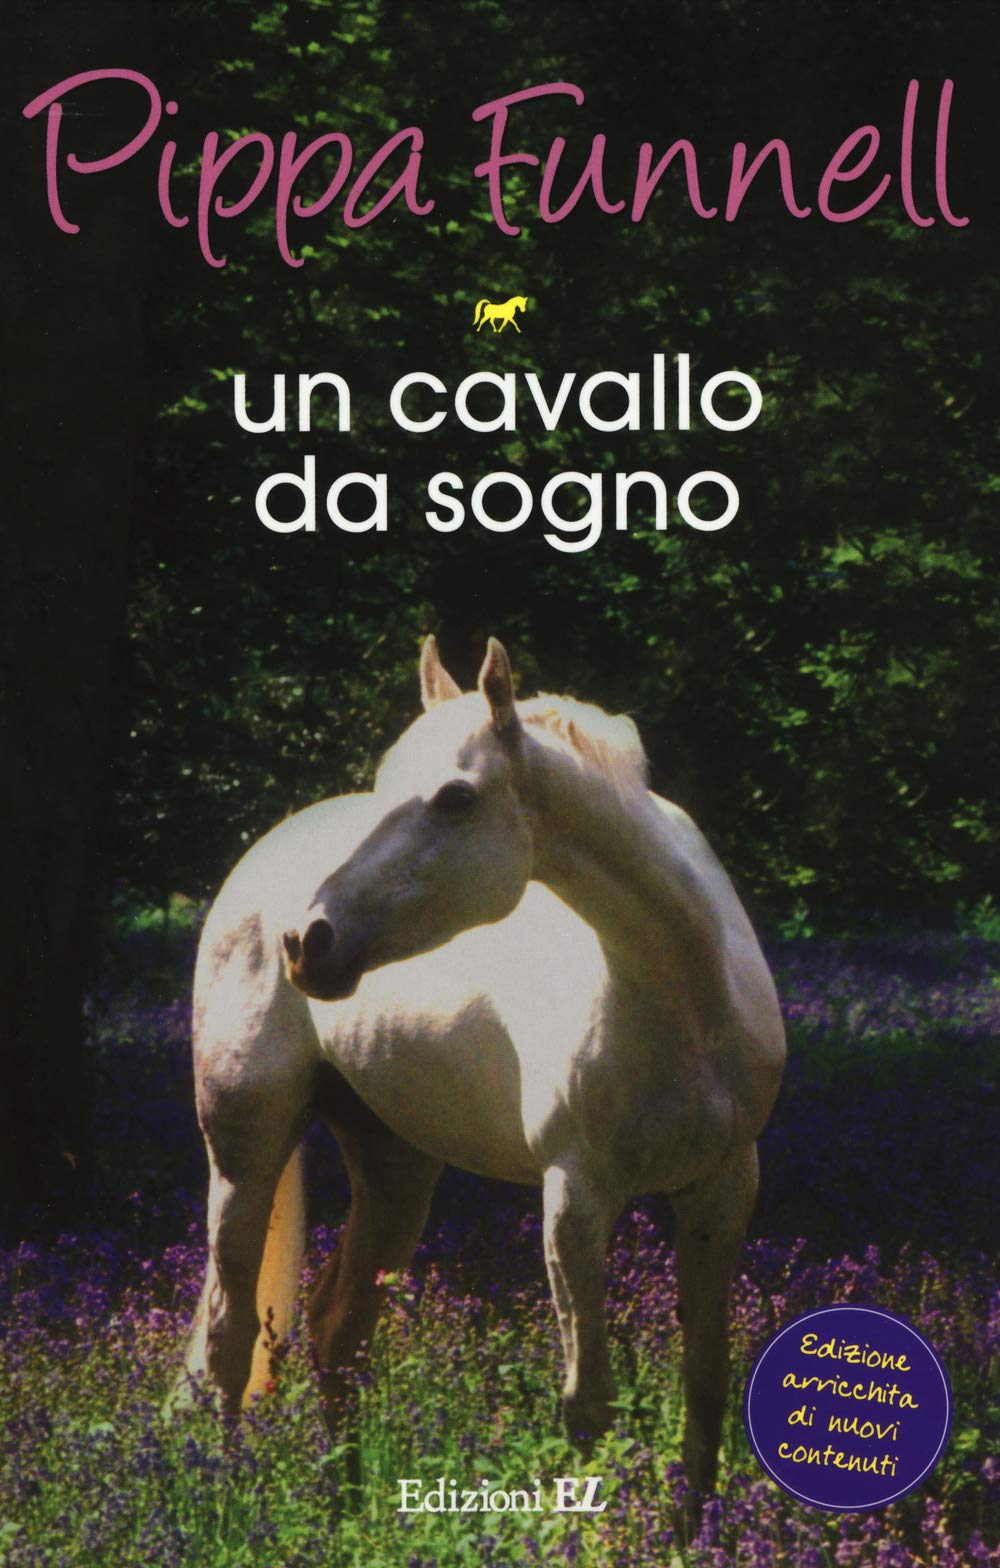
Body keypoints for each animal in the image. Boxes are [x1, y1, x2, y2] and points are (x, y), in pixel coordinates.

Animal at [181, 636, 785, 1504]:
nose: (308, 941)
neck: (684, 999)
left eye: (456, 798)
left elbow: (704, 1391)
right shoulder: (574, 1199)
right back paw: (229, 1510)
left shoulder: (723, 1188)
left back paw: (348, 1513)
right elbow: (589, 1406)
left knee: (337, 1332)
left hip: (396, 1167)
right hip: (245, 1149)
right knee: (230, 1349)